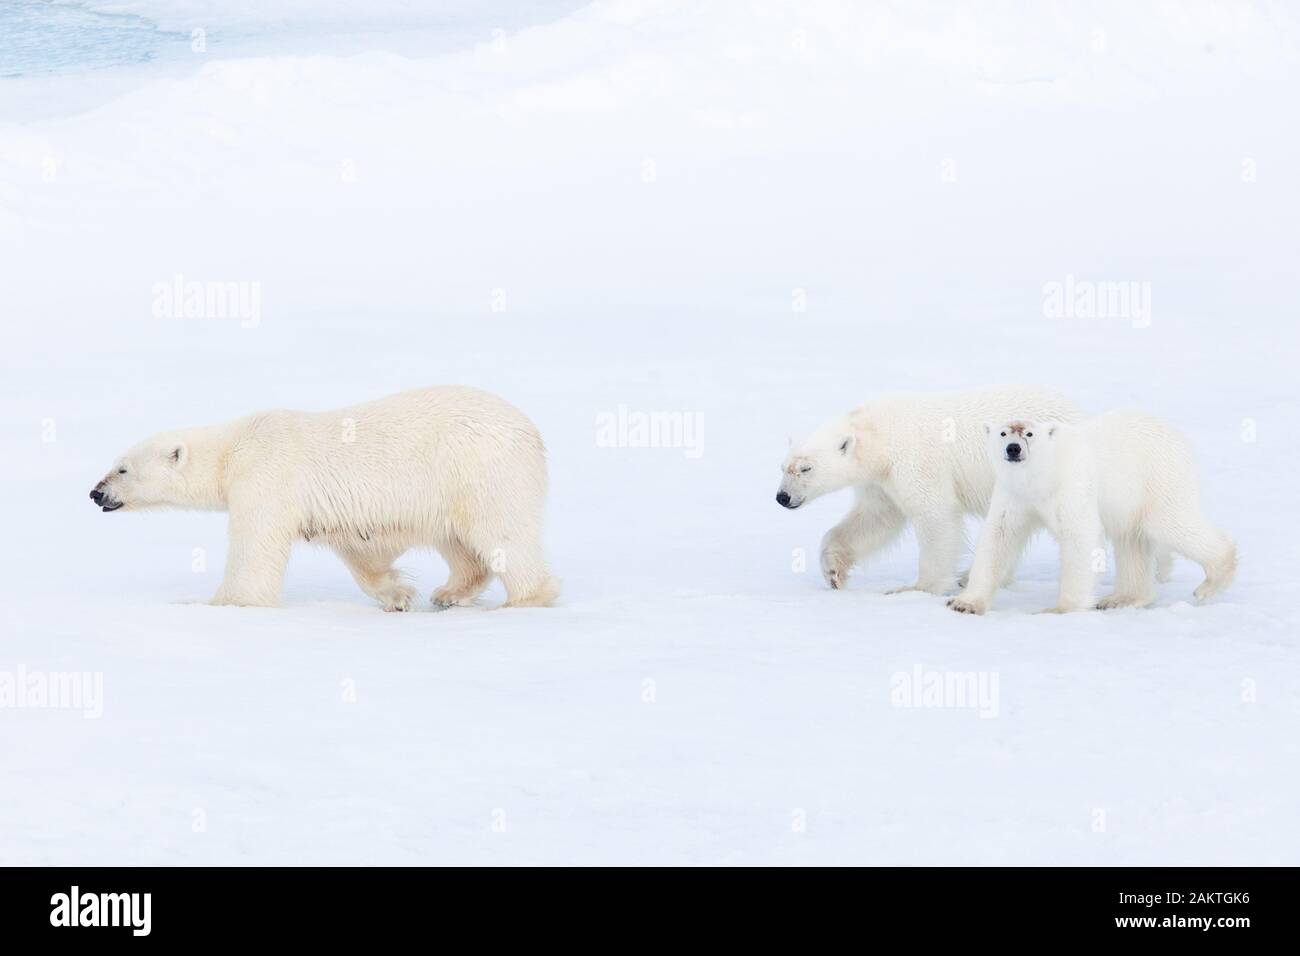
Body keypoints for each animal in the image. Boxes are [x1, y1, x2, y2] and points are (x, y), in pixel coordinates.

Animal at [88, 385, 561, 611]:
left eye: (123, 468)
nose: (96, 493)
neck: (232, 448)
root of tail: (532, 431)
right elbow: (361, 552)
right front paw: (398, 595)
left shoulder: (266, 475)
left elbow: (255, 547)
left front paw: (223, 603)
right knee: (458, 542)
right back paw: (450, 592)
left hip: (480, 470)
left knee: (503, 534)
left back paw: (525, 598)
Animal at [776, 385, 1083, 594]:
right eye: (783, 467)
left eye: (806, 468)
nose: (782, 497)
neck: (880, 433)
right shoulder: (880, 482)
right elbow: (875, 519)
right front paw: (833, 571)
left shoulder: (915, 461)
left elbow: (935, 514)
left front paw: (916, 588)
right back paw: (971, 575)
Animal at [947, 411, 1236, 615]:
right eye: (1003, 433)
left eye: (1029, 433)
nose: (1013, 449)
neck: (1042, 476)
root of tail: (1178, 436)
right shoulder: (1014, 494)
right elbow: (999, 536)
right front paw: (964, 603)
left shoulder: (1072, 486)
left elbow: (1081, 537)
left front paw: (1060, 609)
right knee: (1132, 542)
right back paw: (1120, 599)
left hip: (1158, 478)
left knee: (1169, 523)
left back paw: (1211, 582)